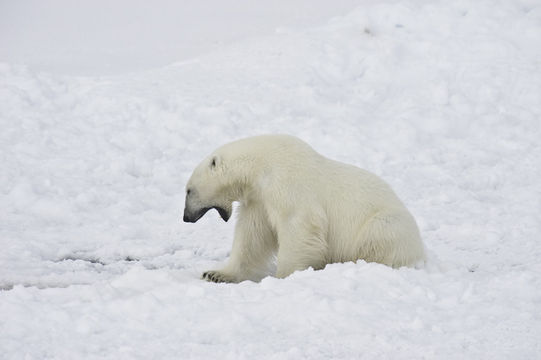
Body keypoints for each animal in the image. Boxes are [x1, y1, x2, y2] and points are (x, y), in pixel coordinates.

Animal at [184, 134, 424, 282]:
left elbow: (298, 227)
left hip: (386, 224)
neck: (260, 166)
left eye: (188, 190)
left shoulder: (288, 185)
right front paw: (216, 274)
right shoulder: (258, 199)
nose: (186, 217)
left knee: (378, 235)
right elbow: (252, 237)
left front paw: (284, 276)